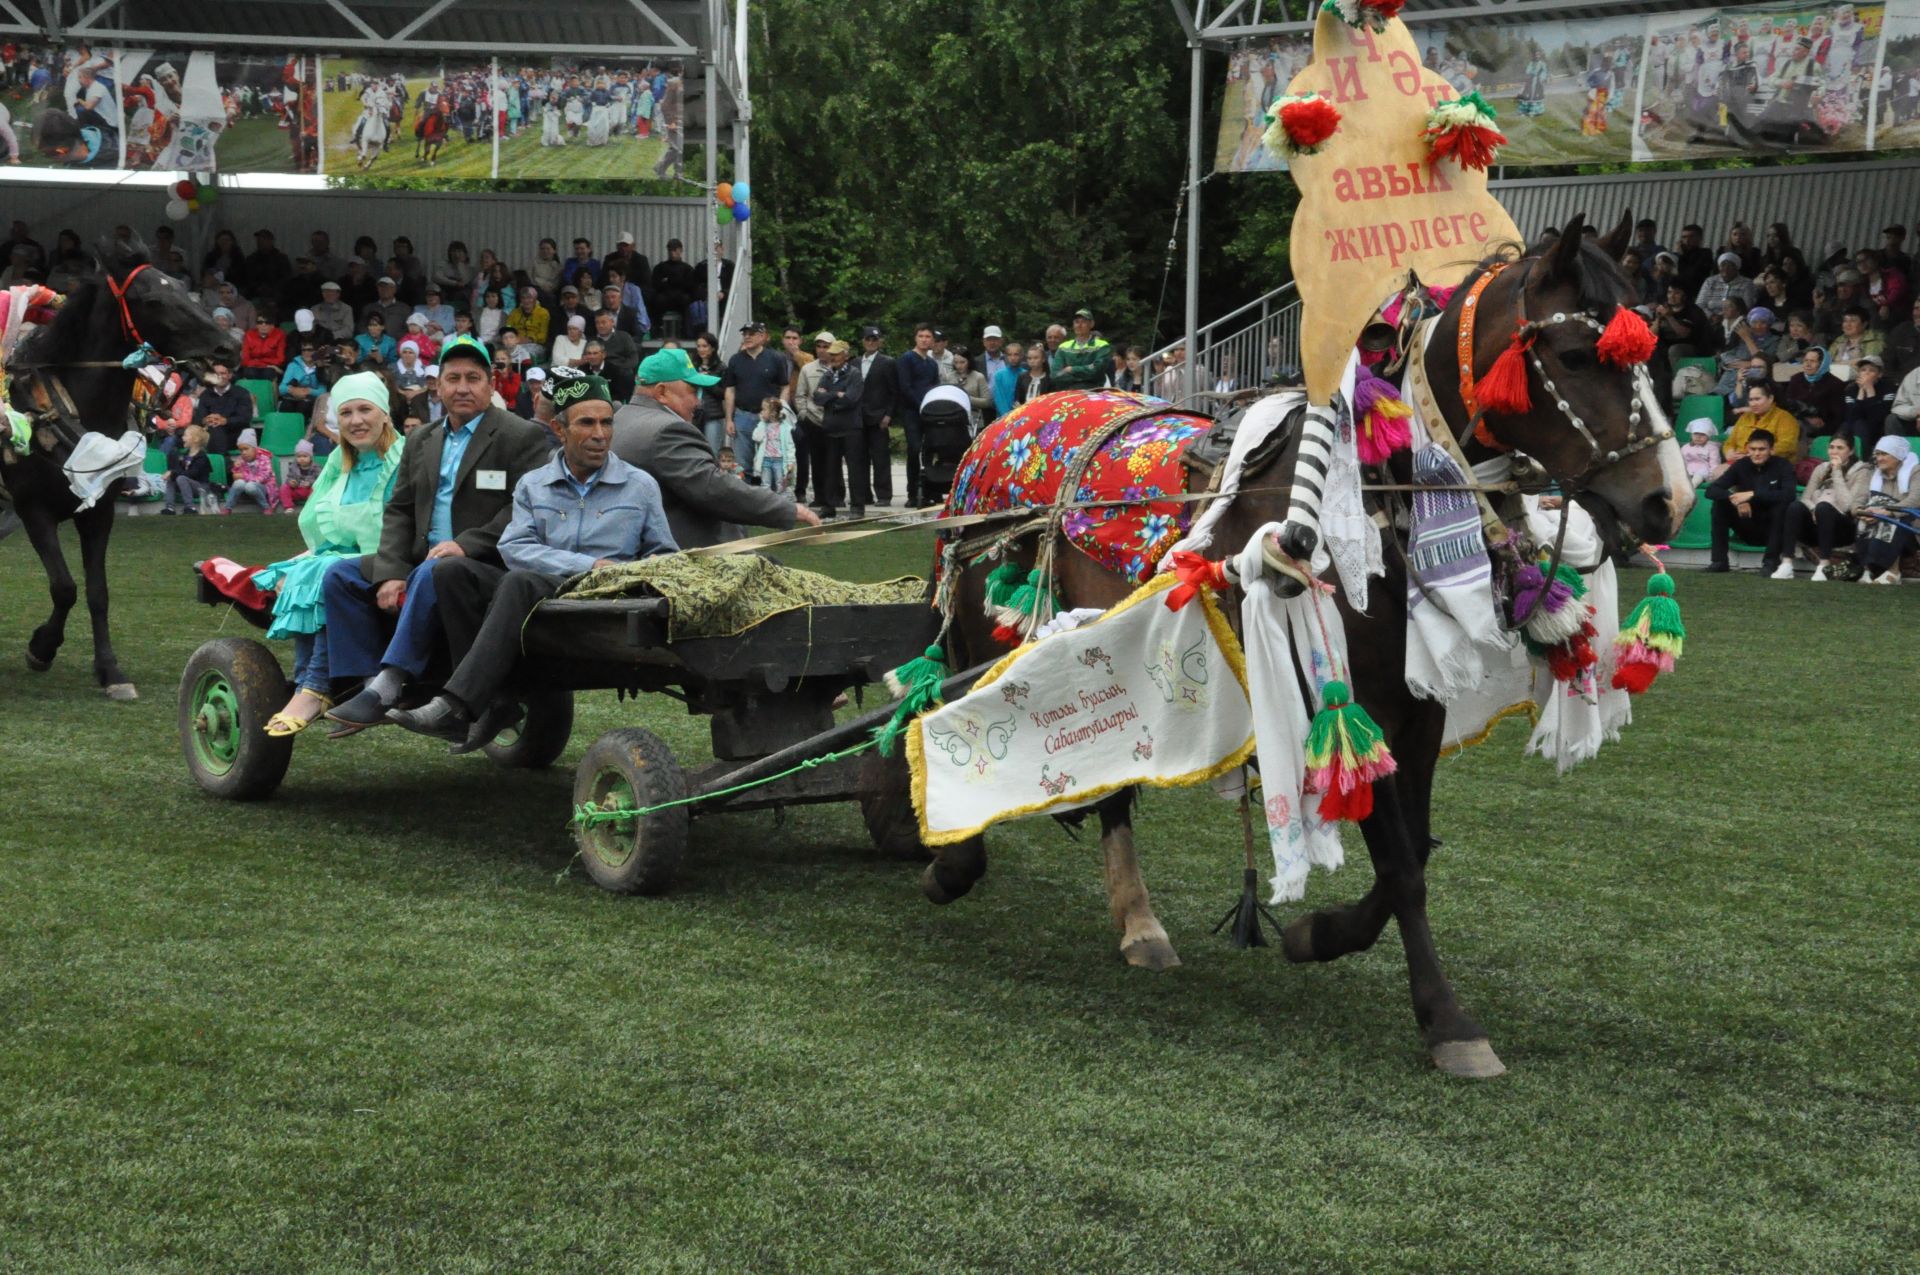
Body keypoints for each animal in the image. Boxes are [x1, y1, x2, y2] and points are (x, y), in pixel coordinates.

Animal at [887, 218, 1697, 1075]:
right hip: (990, 620)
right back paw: (956, 861)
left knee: (1108, 787)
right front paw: (1448, 1019)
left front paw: (1320, 936)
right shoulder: (1358, 699)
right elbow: (1402, 864)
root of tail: (1003, 427)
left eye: (1650, 353)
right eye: (1576, 356)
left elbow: (1414, 855)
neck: (1378, 497)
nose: (1669, 498)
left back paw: (1137, 920)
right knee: (951, 709)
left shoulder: (1417, 711)